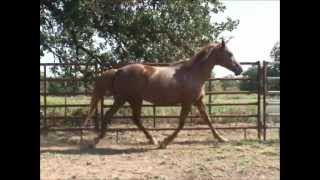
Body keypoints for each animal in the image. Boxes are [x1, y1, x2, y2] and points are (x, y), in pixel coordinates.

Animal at [80, 40, 242, 148]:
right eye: (229, 54)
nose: (239, 69)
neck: (193, 74)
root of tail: (119, 71)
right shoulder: (187, 102)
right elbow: (181, 123)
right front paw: (165, 142)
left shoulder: (198, 101)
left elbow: (207, 119)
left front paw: (221, 138)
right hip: (124, 99)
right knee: (112, 115)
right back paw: (97, 141)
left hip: (133, 100)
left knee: (135, 119)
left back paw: (151, 139)